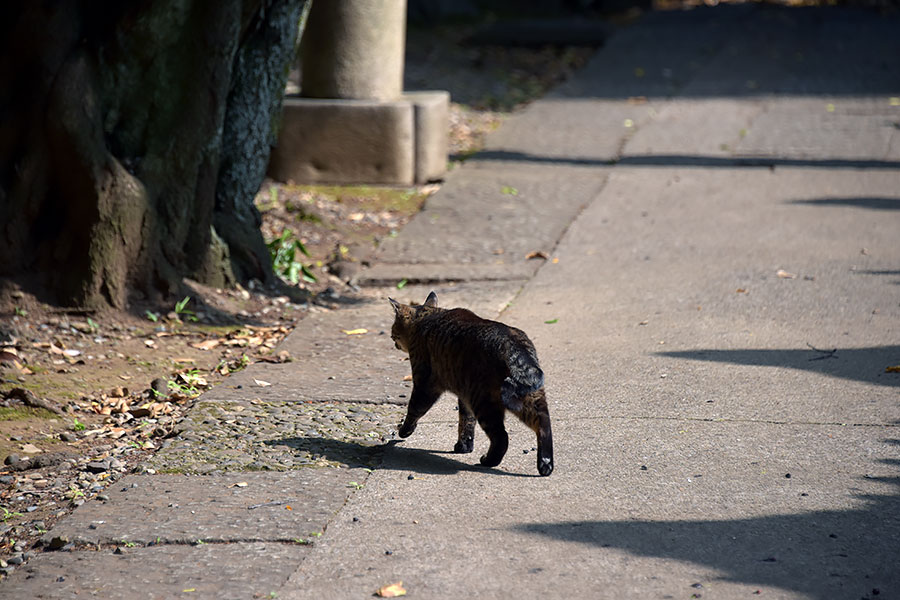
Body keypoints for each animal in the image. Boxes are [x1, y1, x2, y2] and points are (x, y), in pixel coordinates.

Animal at [388, 292, 556, 476]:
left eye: (394, 331)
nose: (393, 340)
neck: (427, 316)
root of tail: (514, 347)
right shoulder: (464, 394)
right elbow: (466, 421)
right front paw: (464, 446)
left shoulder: (424, 383)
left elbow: (414, 409)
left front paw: (404, 431)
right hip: (530, 399)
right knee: (543, 426)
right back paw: (545, 464)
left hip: (484, 403)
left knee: (502, 438)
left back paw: (488, 461)